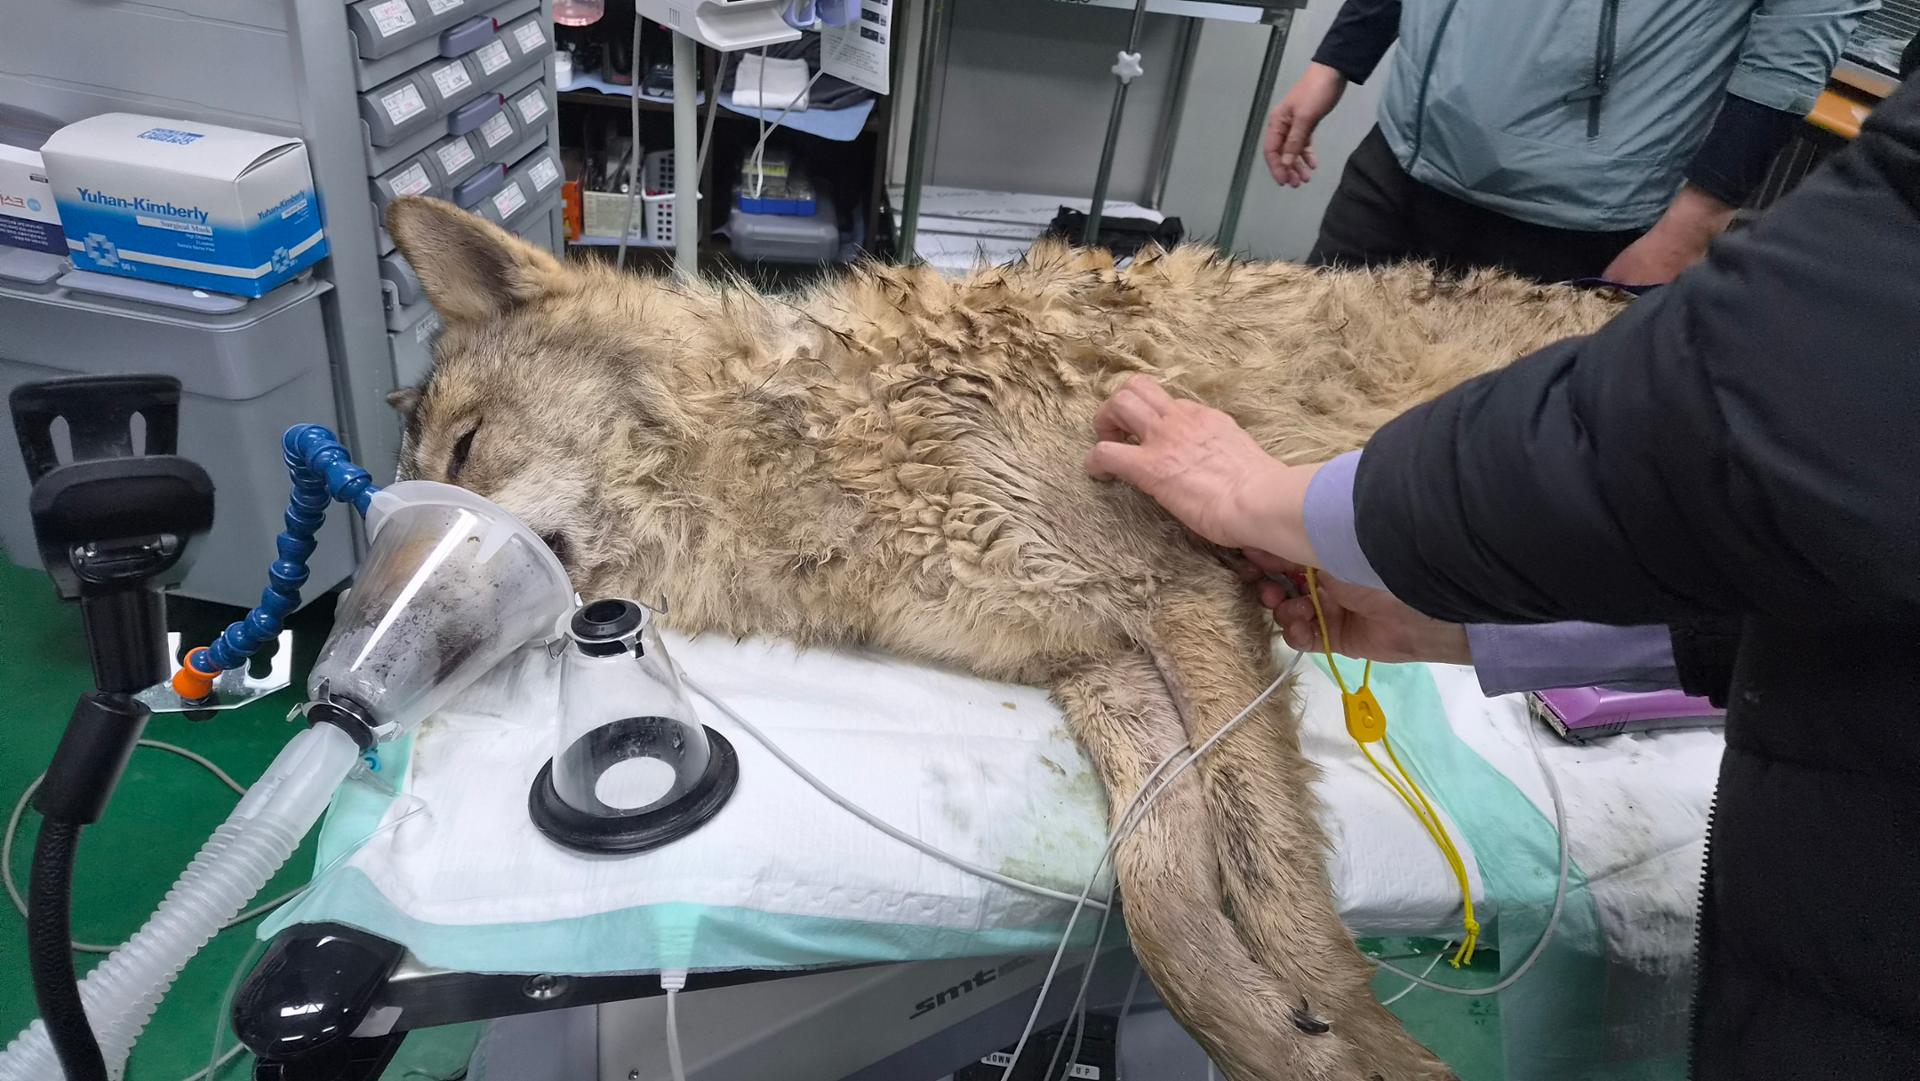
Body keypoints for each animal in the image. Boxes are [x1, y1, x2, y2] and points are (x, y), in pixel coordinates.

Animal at [384, 197, 1622, 1080]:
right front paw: (1284, 1038)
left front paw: (1366, 1044)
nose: (369, 655)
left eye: (467, 450)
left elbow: (1272, 881)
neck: (807, 443)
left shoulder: (1184, 591)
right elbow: (1165, 902)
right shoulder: (1099, 663)